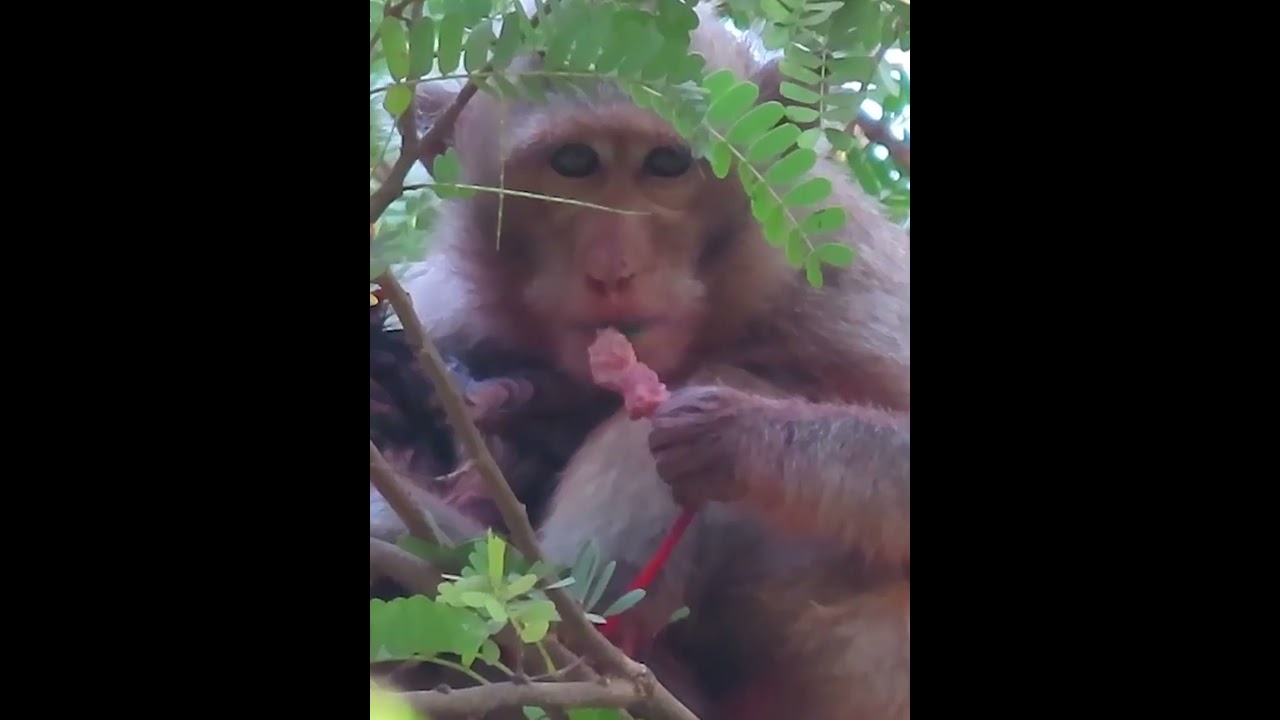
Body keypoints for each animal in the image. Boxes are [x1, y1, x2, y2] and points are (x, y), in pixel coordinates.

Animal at [400, 3, 909, 718]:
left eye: (667, 164)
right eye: (574, 162)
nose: (614, 269)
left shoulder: (834, 268)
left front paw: (737, 437)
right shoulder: (448, 302)